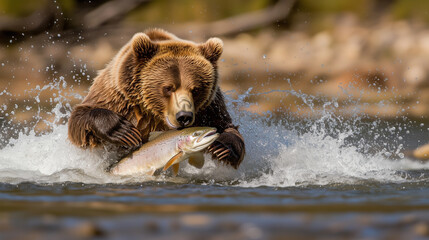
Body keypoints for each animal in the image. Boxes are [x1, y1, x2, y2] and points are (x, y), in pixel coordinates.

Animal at [67, 29, 244, 168]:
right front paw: (123, 130)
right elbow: (79, 120)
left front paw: (221, 147)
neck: (154, 114)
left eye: (195, 89)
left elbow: (227, 126)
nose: (184, 116)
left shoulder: (210, 107)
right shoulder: (117, 96)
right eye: (168, 88)